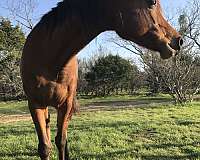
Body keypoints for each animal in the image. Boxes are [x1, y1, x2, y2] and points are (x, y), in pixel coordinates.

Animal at [20, 0, 183, 160]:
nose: (179, 40)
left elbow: (61, 141)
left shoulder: (66, 105)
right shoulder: (35, 104)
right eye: (153, 2)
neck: (51, 60)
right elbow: (45, 147)